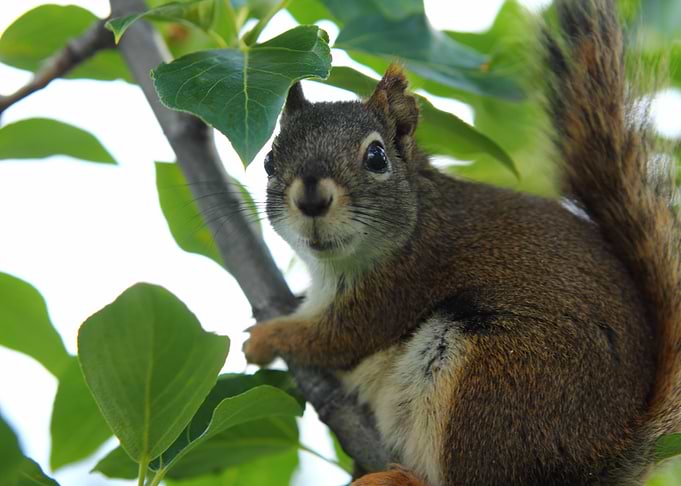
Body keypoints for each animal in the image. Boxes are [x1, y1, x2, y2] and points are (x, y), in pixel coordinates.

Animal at [243, 0, 681, 484]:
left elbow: (332, 339)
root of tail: (598, 463)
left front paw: (265, 338)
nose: (311, 198)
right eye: (268, 160)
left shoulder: (400, 284)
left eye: (376, 156)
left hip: (495, 382)